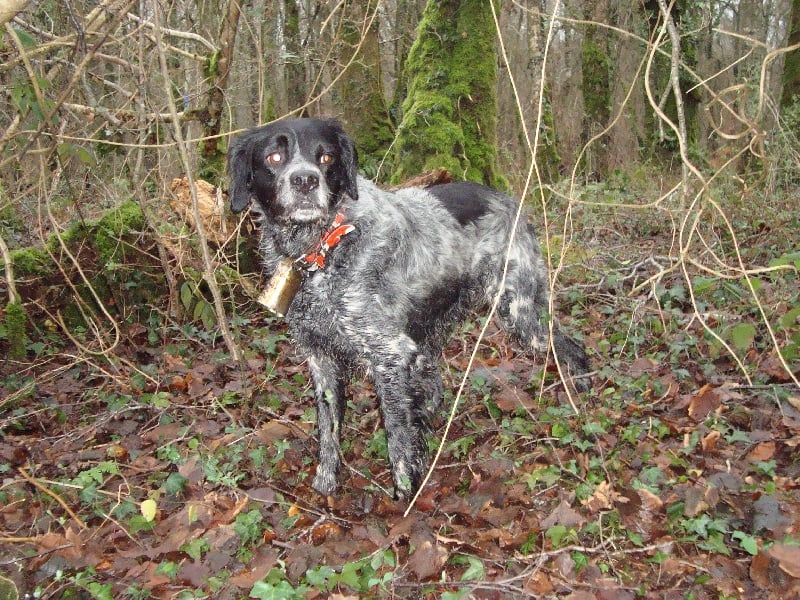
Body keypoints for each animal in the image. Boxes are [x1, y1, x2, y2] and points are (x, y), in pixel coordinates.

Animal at [228, 118, 590, 500]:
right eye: (274, 156)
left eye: (325, 157)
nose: (305, 181)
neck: (326, 247)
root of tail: (508, 199)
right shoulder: (320, 356)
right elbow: (329, 431)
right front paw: (326, 483)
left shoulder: (389, 355)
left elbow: (398, 437)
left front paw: (404, 495)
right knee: (435, 384)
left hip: (520, 311)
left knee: (572, 348)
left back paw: (579, 394)